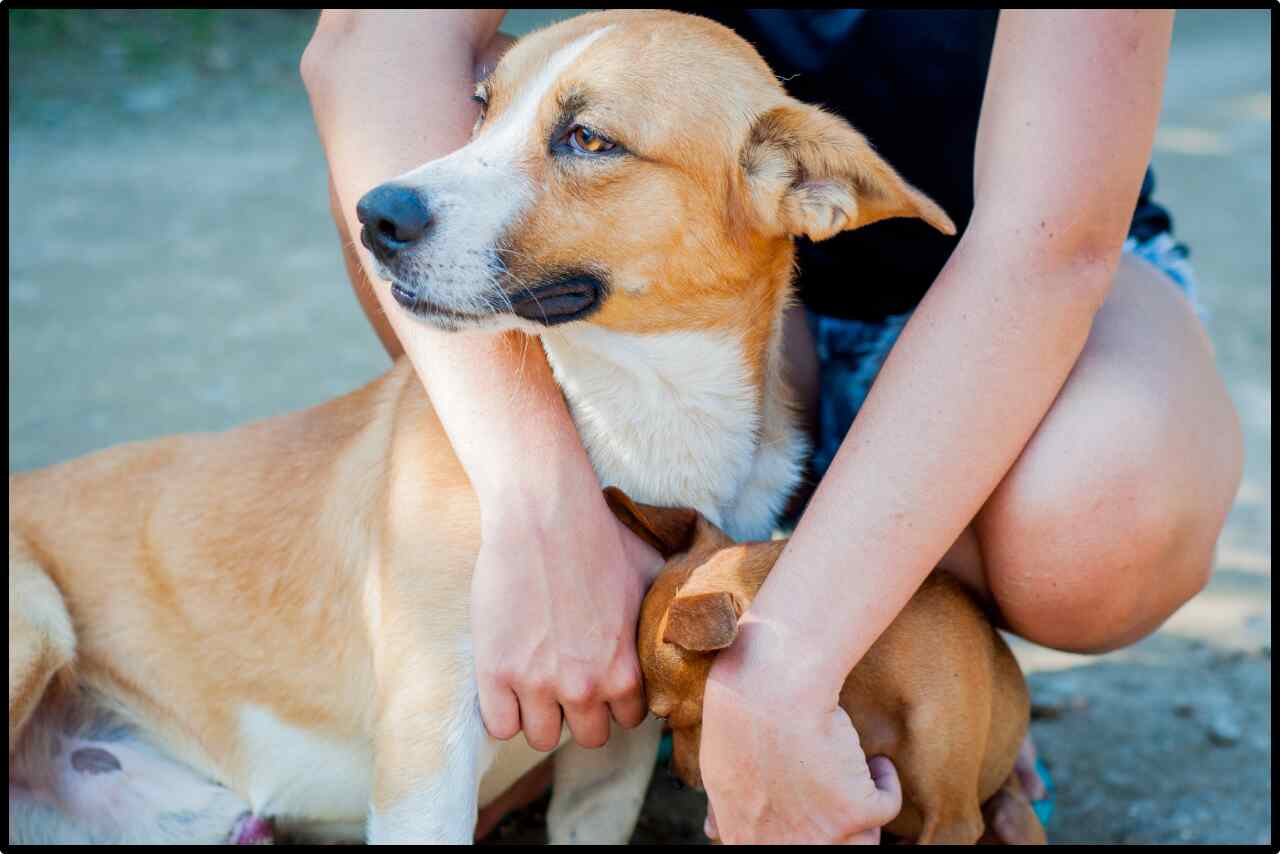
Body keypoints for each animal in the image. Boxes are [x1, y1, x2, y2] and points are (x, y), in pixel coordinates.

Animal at [7, 10, 952, 845]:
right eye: (481, 105)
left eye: (589, 139)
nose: (377, 214)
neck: (641, 417)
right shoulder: (427, 752)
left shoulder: (611, 758)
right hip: (36, 626)